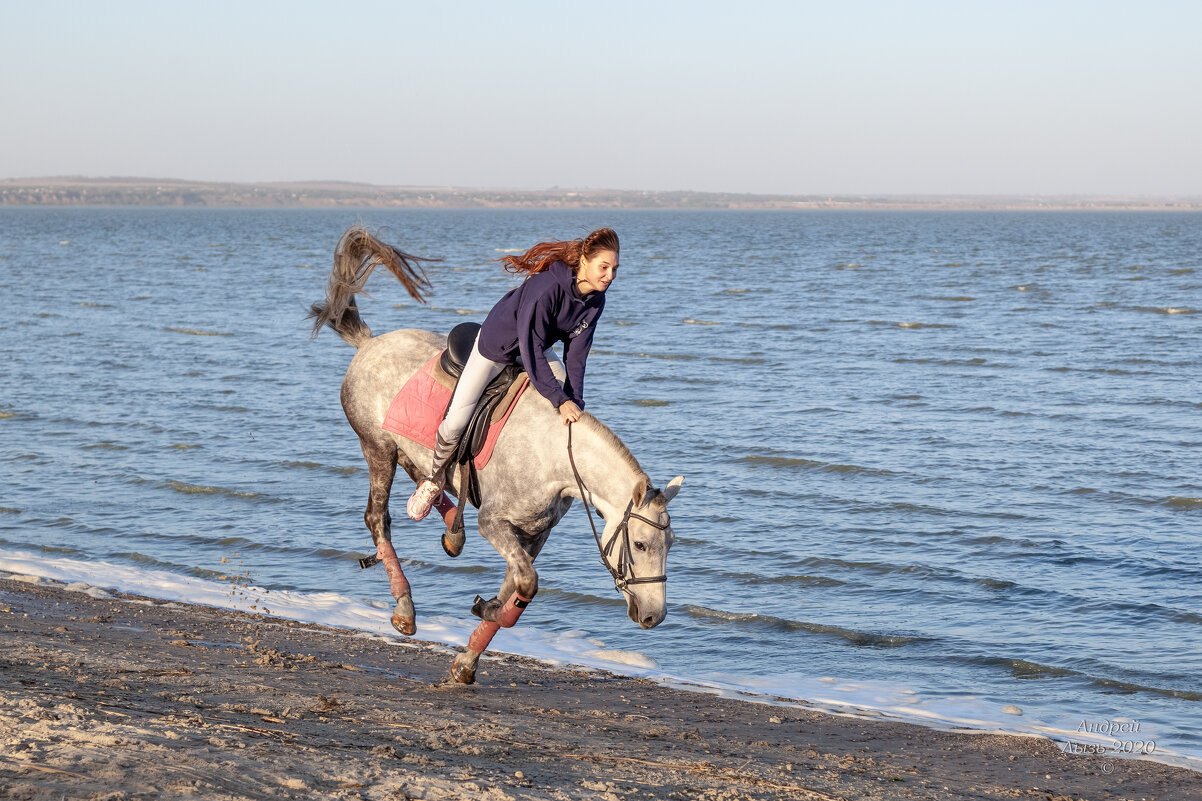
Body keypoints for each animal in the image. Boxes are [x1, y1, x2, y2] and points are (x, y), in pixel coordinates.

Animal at [312, 224, 687, 678]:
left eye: (671, 545)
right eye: (642, 546)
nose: (654, 616)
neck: (554, 458)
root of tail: (368, 344)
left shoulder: (534, 533)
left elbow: (516, 586)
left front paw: (469, 656)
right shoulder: (495, 523)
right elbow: (527, 583)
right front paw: (486, 613)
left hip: (404, 452)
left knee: (428, 474)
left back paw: (448, 524)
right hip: (376, 447)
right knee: (378, 518)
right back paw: (405, 608)